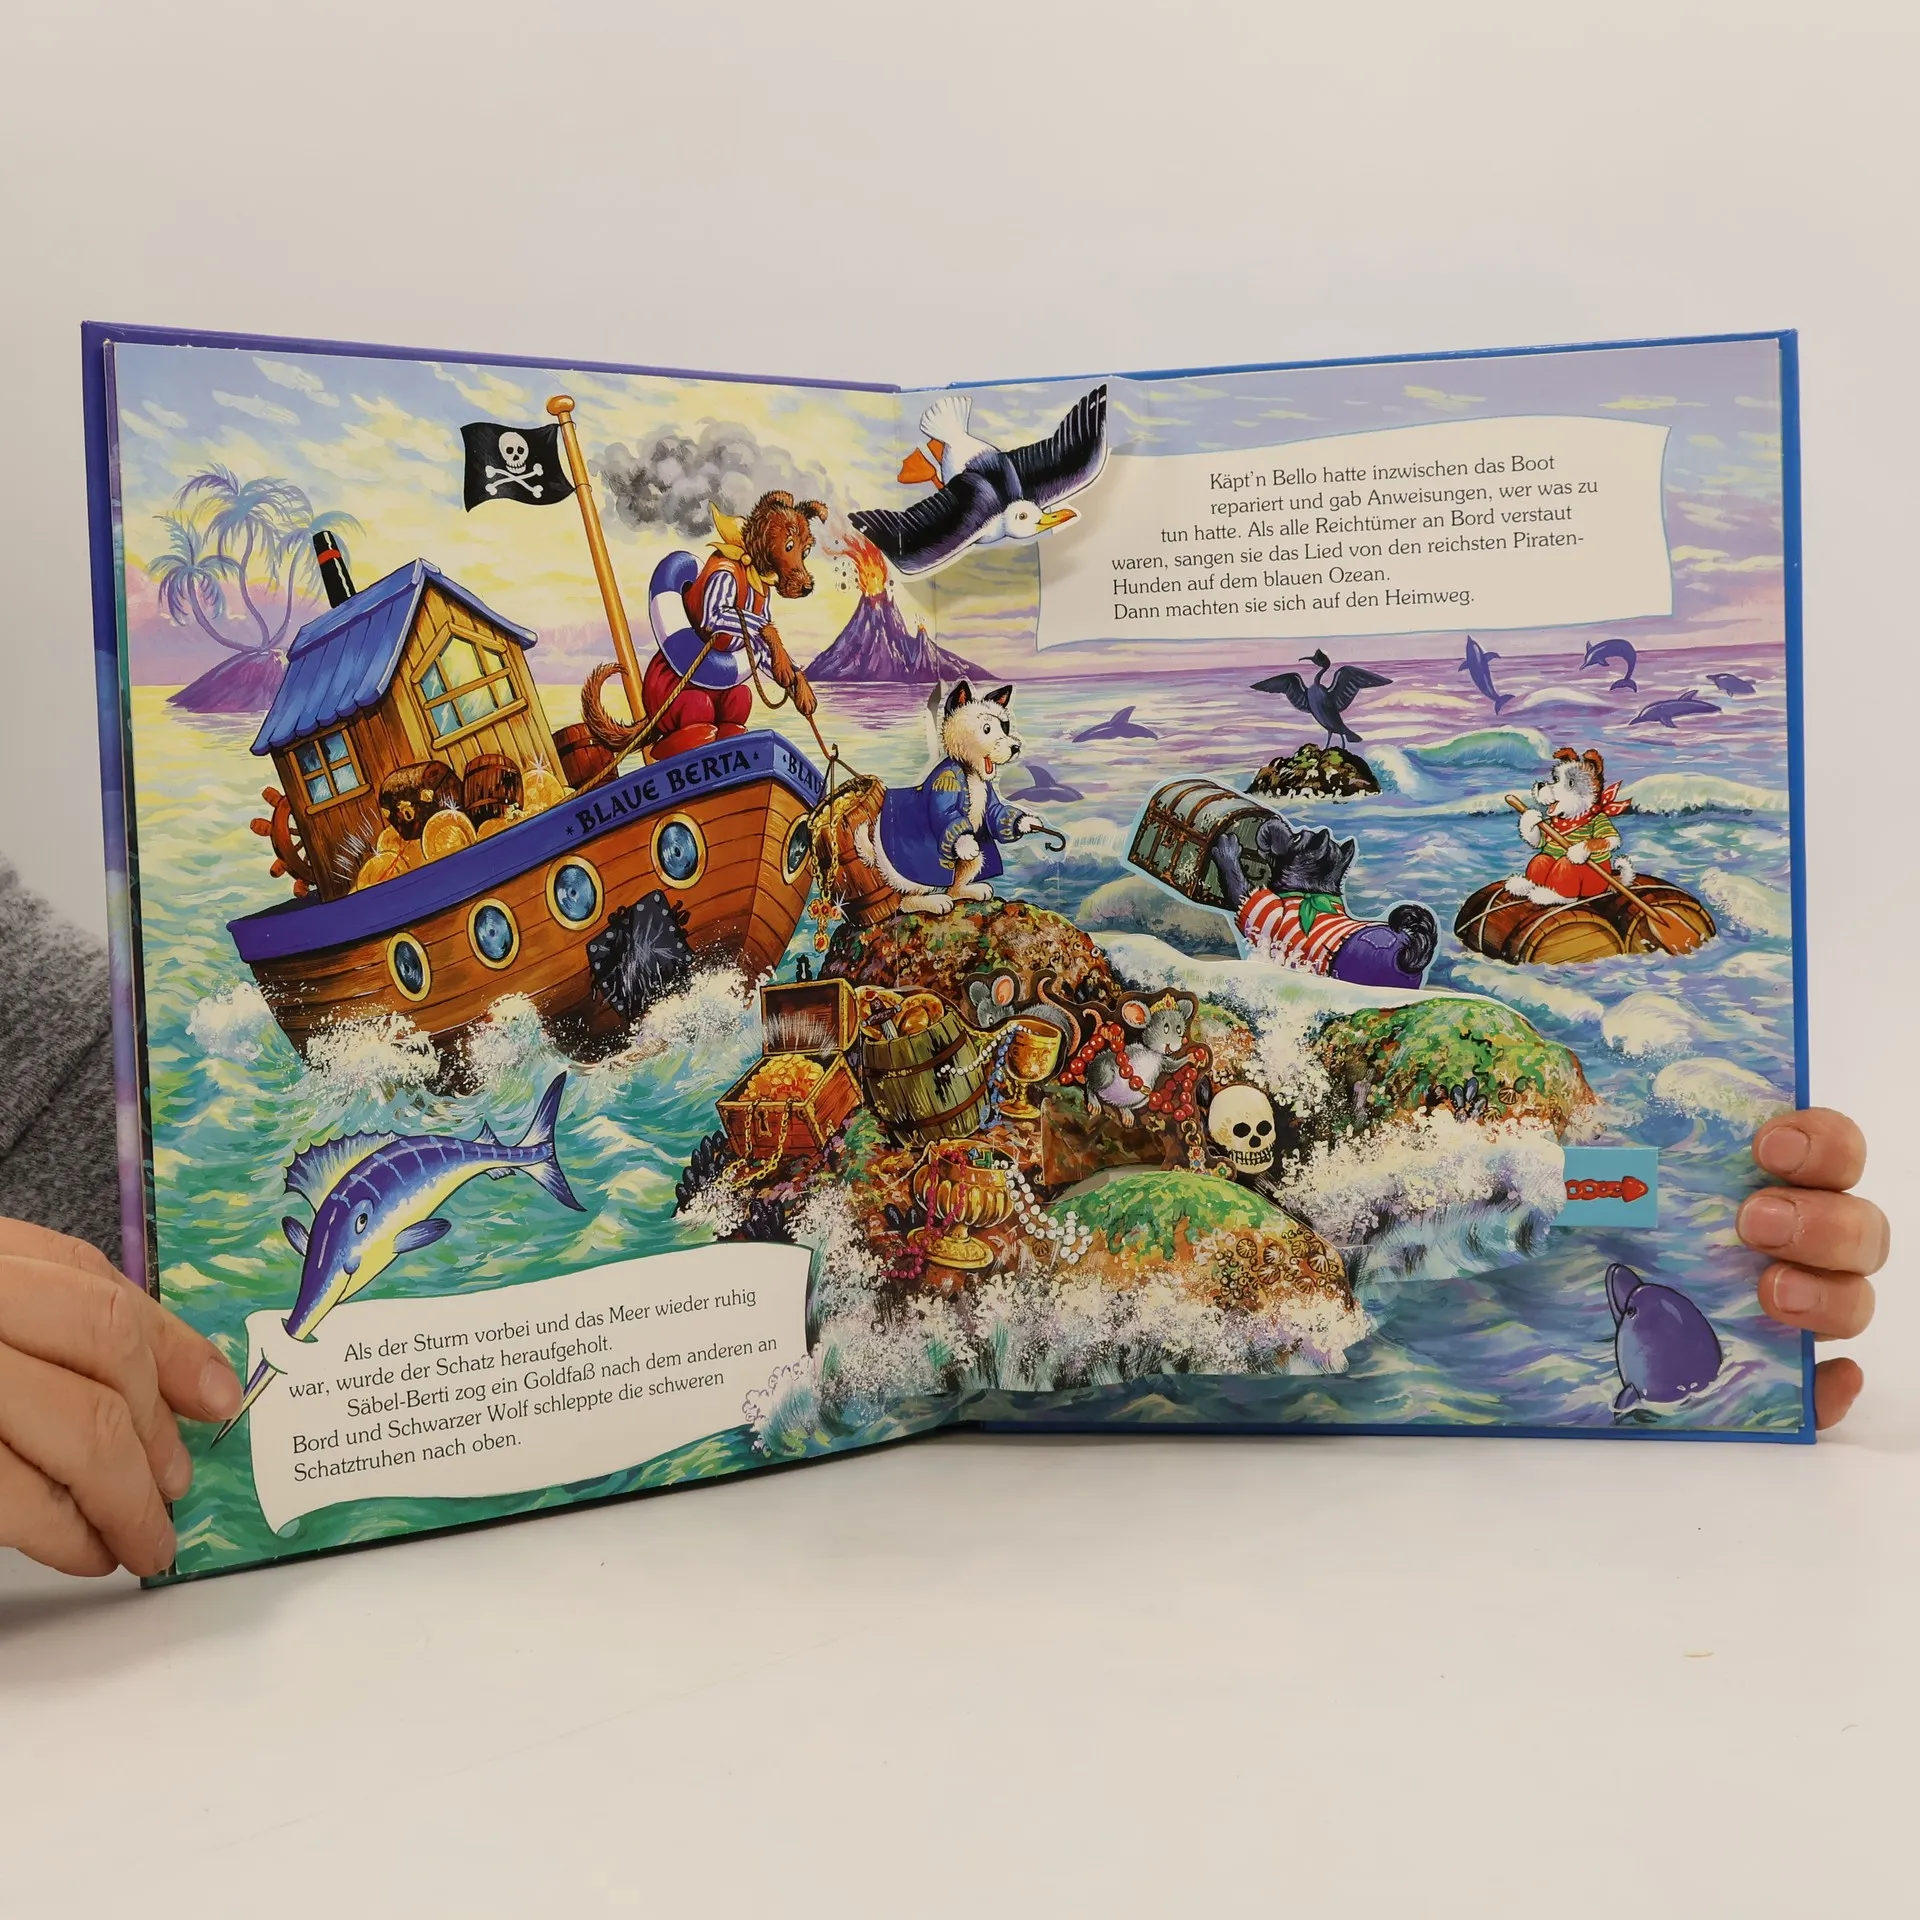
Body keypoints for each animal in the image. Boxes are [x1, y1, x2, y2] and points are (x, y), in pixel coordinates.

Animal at [855, 680, 1047, 915]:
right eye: (986, 729)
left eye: (1005, 726)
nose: (1015, 747)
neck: (971, 773)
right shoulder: (945, 784)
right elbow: (945, 816)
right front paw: (966, 844)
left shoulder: (989, 800)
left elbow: (996, 814)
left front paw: (1025, 822)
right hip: (914, 876)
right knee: (905, 902)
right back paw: (935, 902)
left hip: (977, 857)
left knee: (957, 884)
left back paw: (972, 890)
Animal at [1210, 815, 1438, 989]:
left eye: (1297, 837)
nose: (1274, 820)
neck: (1312, 889)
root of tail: (1410, 954)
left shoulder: (1262, 913)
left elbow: (1238, 886)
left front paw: (1227, 849)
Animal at [1506, 747, 1632, 905]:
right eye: (1555, 779)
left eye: (1571, 782)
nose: (1540, 785)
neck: (1572, 816)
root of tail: (1610, 880)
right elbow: (1536, 840)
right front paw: (1530, 817)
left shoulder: (1601, 821)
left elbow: (1609, 839)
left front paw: (1577, 851)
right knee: (1541, 859)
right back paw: (1524, 885)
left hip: (1592, 883)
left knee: (1567, 867)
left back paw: (1551, 895)